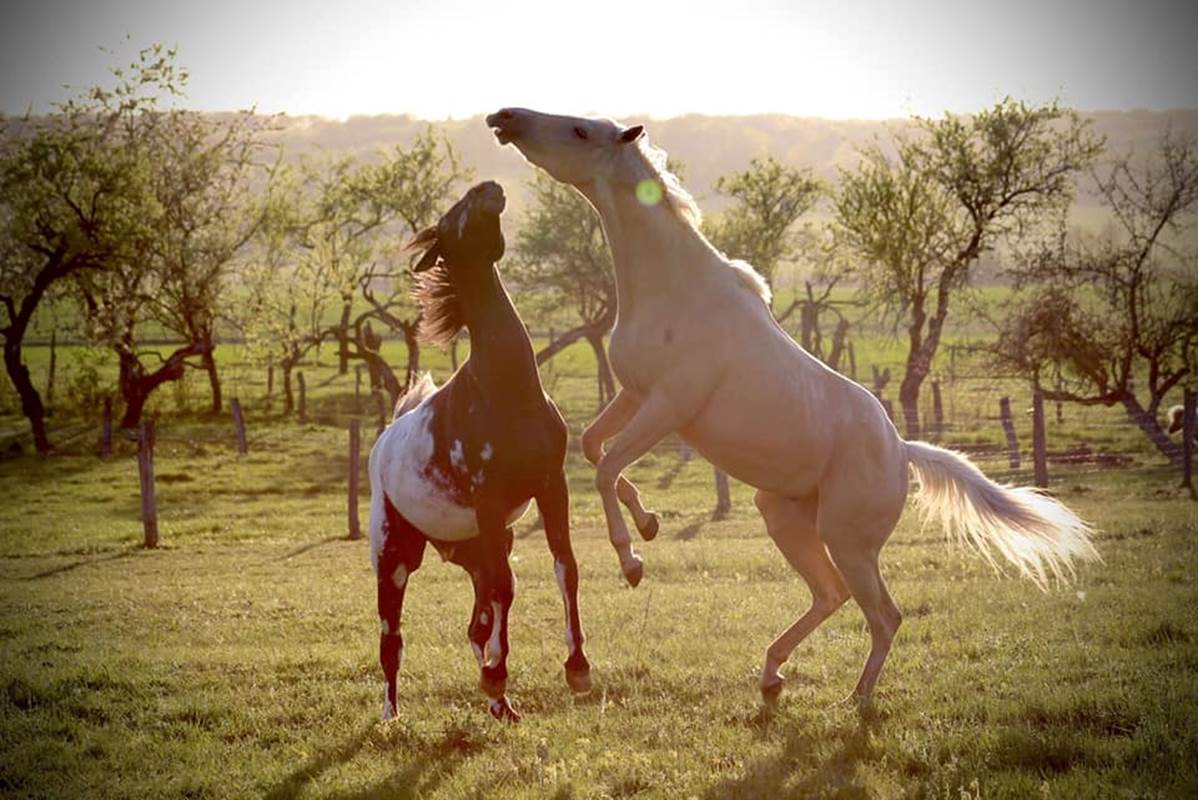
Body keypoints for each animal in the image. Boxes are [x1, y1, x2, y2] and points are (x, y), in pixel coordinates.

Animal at [368, 180, 589, 722]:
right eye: (452, 215)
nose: (490, 187)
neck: (506, 389)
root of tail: (383, 443)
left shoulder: (552, 486)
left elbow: (564, 568)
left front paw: (577, 669)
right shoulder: (489, 499)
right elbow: (507, 588)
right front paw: (498, 675)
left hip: (473, 548)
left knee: (479, 617)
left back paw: (499, 700)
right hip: (395, 556)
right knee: (392, 637)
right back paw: (392, 714)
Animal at [485, 108, 1098, 704]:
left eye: (580, 130)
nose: (504, 117)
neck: (675, 289)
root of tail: (903, 450)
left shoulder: (668, 407)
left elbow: (607, 466)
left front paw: (633, 562)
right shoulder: (634, 394)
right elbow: (594, 448)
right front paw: (651, 522)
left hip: (848, 540)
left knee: (884, 613)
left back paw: (856, 701)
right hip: (786, 519)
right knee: (830, 595)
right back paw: (772, 676)